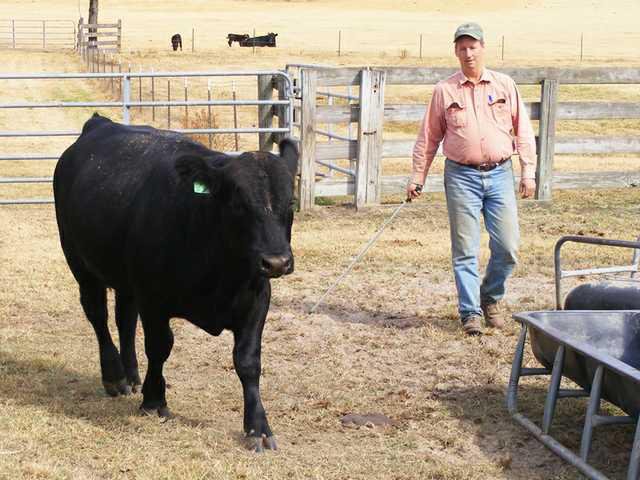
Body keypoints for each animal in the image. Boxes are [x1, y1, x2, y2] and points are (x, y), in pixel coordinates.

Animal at [53, 113, 298, 452]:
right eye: (238, 204)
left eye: (292, 204)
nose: (276, 262)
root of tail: (100, 124)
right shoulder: (153, 299)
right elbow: (159, 347)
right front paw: (155, 400)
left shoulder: (258, 298)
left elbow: (248, 361)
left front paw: (258, 427)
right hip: (80, 262)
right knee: (98, 316)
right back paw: (115, 375)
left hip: (126, 280)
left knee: (124, 319)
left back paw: (131, 375)